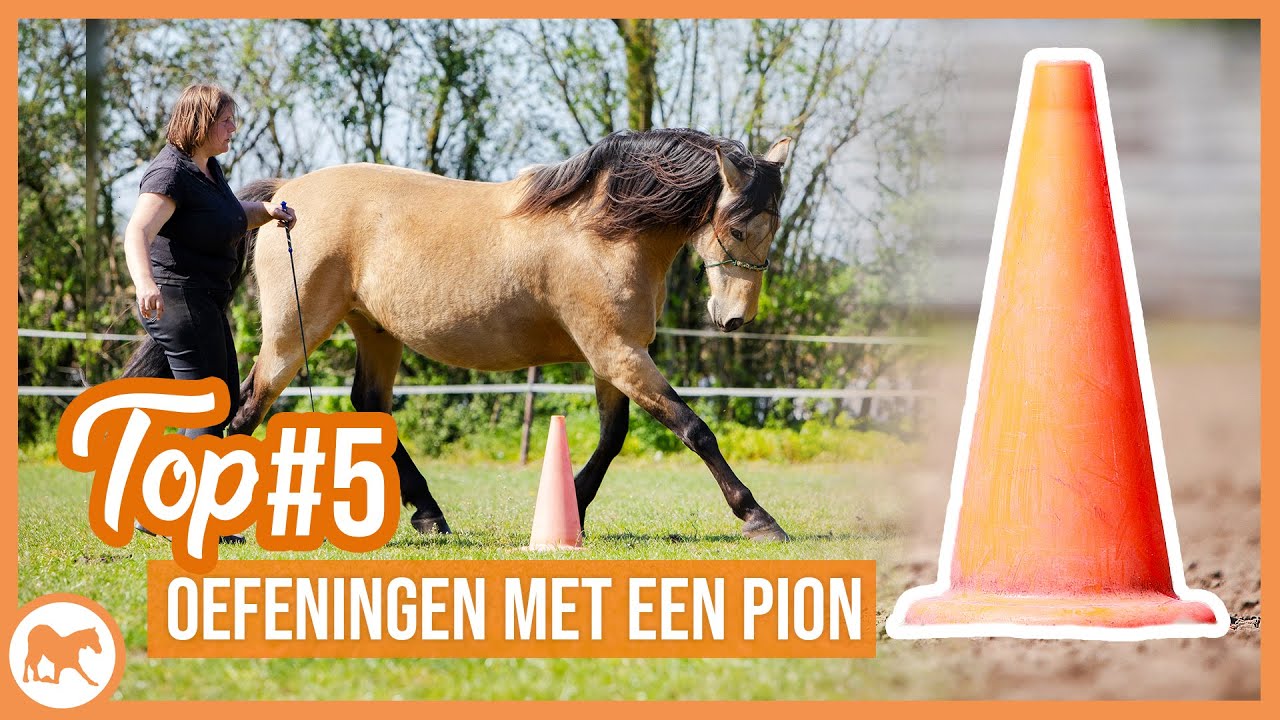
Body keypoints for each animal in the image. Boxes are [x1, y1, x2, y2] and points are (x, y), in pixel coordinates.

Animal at [230, 128, 792, 541]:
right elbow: (695, 429)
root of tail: (283, 198)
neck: (603, 230)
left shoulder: (613, 357)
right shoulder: (618, 354)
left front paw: (573, 507)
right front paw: (758, 517)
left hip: (375, 330)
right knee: (251, 403)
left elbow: (612, 438)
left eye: (774, 228)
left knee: (368, 405)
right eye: (737, 228)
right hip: (293, 334)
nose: (734, 318)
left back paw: (429, 514)